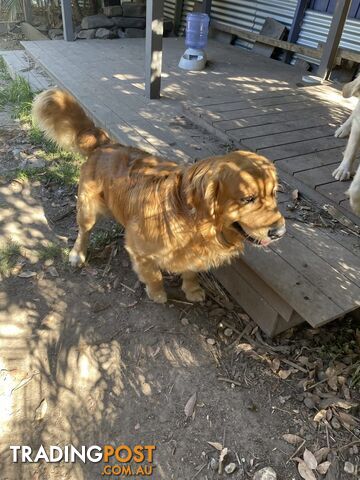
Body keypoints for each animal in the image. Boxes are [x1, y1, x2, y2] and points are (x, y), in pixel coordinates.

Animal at [33, 88, 286, 302]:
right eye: (248, 199)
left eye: (274, 194)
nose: (280, 232)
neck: (191, 219)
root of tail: (105, 143)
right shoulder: (140, 250)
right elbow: (153, 274)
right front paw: (157, 294)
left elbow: (191, 271)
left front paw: (192, 290)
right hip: (87, 209)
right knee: (83, 231)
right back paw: (78, 254)